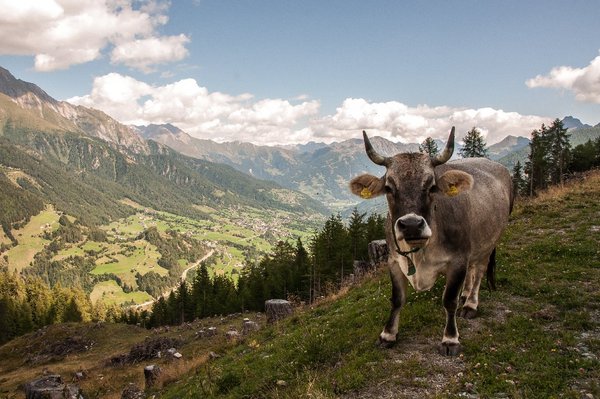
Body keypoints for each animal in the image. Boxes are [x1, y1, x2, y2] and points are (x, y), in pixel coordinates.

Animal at [350, 128, 512, 356]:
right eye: (389, 187)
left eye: (432, 186)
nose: (411, 225)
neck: (421, 252)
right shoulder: (393, 260)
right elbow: (397, 299)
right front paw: (388, 335)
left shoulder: (458, 260)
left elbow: (449, 300)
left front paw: (450, 339)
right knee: (472, 271)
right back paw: (466, 295)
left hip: (489, 243)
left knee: (479, 271)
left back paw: (470, 304)